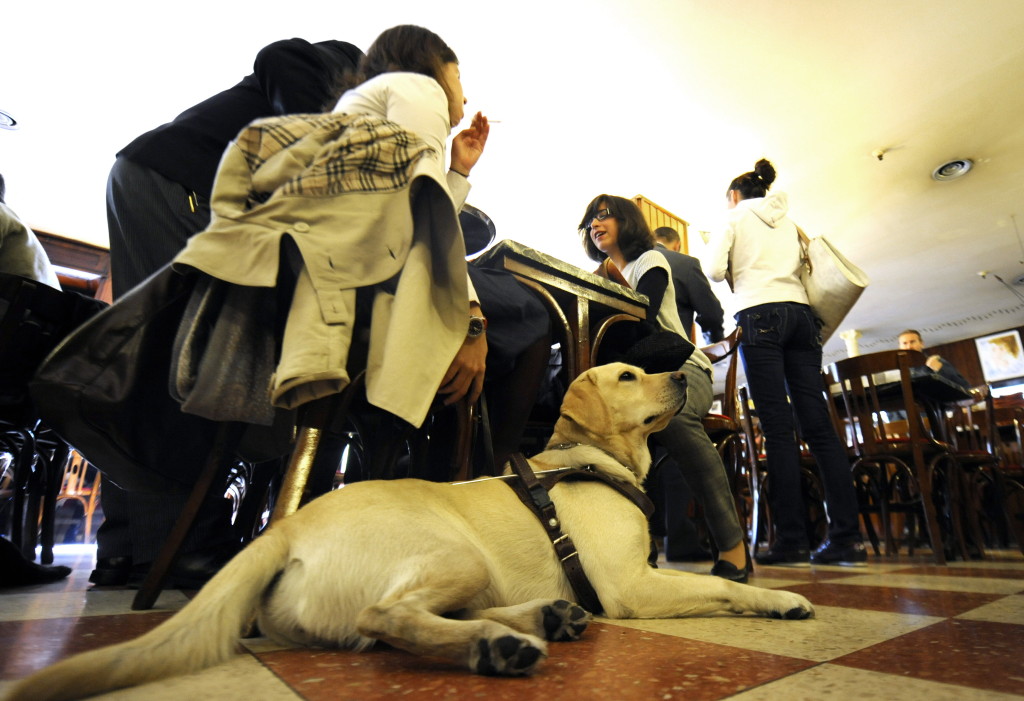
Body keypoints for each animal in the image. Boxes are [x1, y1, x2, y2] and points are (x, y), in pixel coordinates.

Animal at [4, 364, 811, 695]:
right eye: (627, 376)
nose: (684, 372)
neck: (592, 460)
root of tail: (283, 530)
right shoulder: (632, 586)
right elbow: (725, 587)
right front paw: (780, 599)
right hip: (452, 551)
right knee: (387, 616)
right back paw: (498, 647)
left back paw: (543, 617)